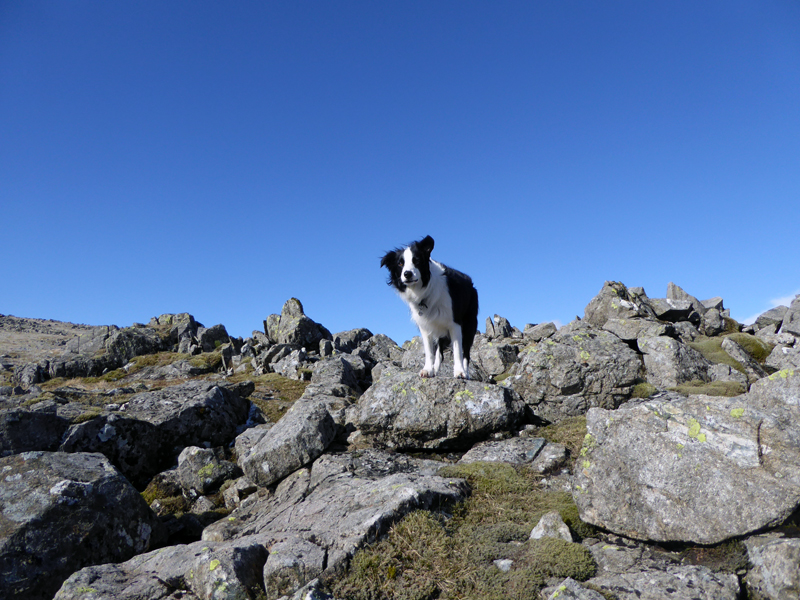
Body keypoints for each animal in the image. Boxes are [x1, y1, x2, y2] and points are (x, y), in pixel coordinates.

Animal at [380, 236, 478, 380]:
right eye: (400, 264)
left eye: (416, 260)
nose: (407, 274)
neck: (424, 291)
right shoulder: (425, 325)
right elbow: (429, 351)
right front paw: (428, 369)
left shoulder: (455, 323)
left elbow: (457, 351)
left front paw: (459, 372)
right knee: (439, 353)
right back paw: (435, 369)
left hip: (469, 325)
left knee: (466, 353)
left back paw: (466, 372)